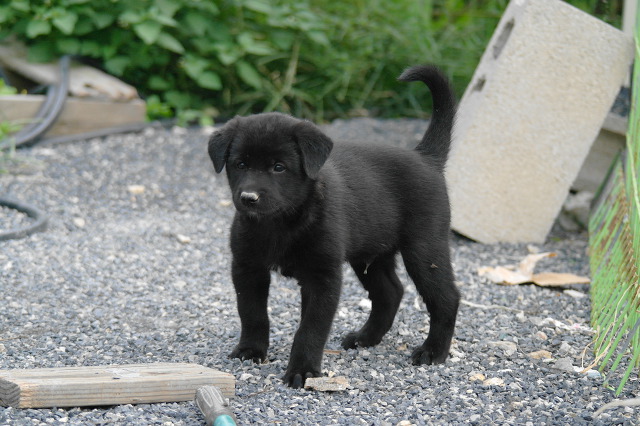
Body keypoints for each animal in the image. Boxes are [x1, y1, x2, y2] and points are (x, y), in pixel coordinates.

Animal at [208, 65, 460, 388]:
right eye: (240, 164)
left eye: (279, 167)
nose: (248, 198)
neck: (281, 223)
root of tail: (425, 156)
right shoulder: (247, 268)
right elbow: (252, 313)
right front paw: (251, 350)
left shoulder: (323, 276)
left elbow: (310, 329)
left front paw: (303, 371)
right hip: (370, 254)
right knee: (390, 292)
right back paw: (365, 338)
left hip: (424, 249)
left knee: (446, 298)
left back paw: (433, 351)